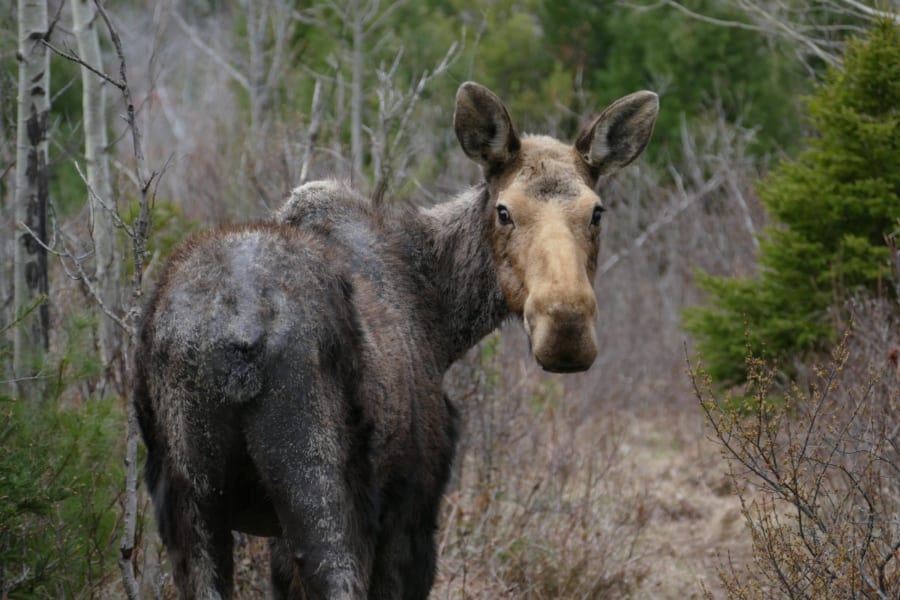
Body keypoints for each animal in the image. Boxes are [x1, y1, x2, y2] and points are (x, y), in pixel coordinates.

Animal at [137, 82, 660, 596]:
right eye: (504, 210)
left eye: (596, 212)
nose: (566, 328)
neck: (442, 320)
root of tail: (234, 332)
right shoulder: (411, 509)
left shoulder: (280, 545)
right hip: (319, 485)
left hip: (192, 505)